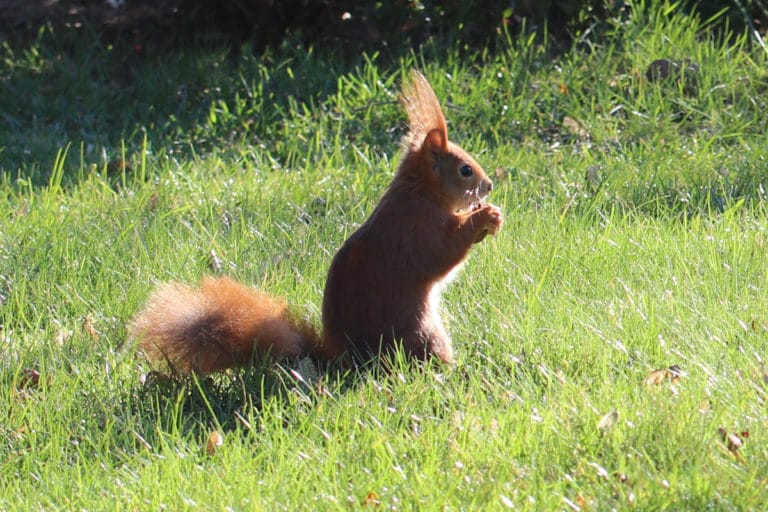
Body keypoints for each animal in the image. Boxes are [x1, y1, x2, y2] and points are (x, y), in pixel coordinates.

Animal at [128, 70, 503, 374]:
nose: (488, 186)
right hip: (423, 333)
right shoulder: (416, 228)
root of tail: (345, 360)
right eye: (465, 170)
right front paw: (485, 216)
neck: (421, 191)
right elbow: (443, 253)